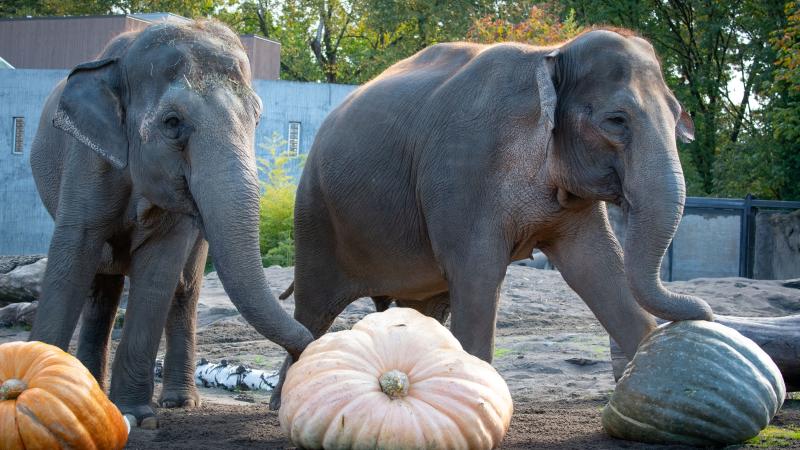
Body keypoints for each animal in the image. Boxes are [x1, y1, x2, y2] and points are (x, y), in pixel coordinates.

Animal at [27, 20, 312, 428]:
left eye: (256, 119)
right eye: (173, 123)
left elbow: (159, 269)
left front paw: (138, 416)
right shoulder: (87, 157)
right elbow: (73, 255)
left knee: (183, 288)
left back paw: (178, 403)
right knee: (102, 286)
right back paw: (94, 392)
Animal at [272, 27, 716, 408]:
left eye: (676, 115)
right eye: (616, 120)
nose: (708, 312)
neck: (550, 53)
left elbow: (598, 265)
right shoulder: (463, 172)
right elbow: (479, 274)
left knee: (419, 309)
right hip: (316, 217)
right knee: (313, 311)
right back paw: (283, 403)